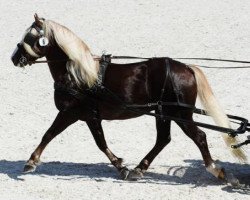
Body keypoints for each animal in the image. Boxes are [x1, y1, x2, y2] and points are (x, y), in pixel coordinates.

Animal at [11, 13, 246, 180]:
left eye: (29, 36)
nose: (14, 58)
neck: (77, 75)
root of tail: (187, 68)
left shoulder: (73, 113)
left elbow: (53, 135)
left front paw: (31, 161)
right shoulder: (86, 116)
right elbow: (93, 141)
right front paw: (121, 166)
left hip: (180, 114)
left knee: (199, 137)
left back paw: (216, 170)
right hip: (163, 113)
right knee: (163, 139)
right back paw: (139, 168)